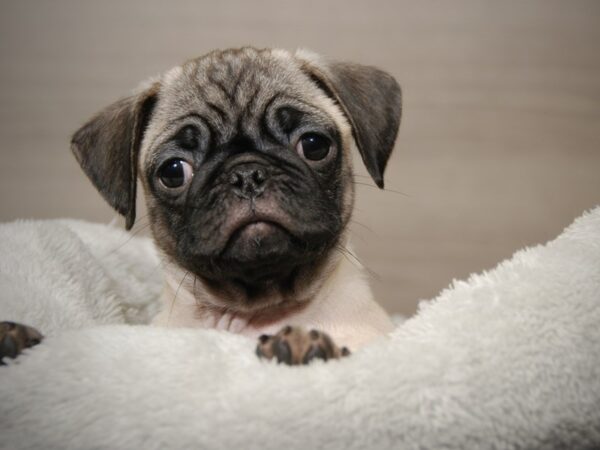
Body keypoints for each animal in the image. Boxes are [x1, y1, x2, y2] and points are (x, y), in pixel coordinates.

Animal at [2, 48, 404, 366]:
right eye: (173, 171)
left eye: (314, 145)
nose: (247, 174)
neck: (252, 312)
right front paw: (17, 340)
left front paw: (305, 343)